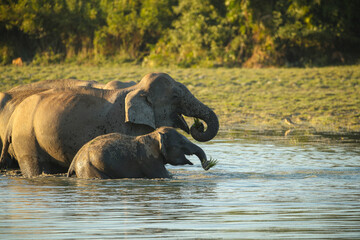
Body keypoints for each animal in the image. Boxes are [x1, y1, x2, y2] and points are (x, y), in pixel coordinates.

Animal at [67, 126, 211, 179]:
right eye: (181, 143)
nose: (206, 165)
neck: (153, 135)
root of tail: (74, 161)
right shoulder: (149, 160)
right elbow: (166, 176)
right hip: (90, 167)